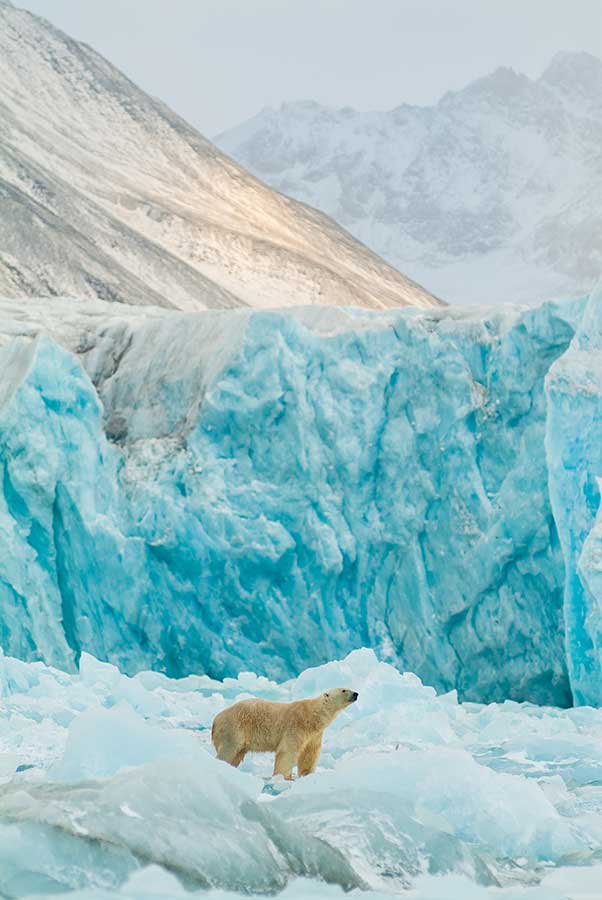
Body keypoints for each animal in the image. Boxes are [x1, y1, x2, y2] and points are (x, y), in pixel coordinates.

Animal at [211, 692, 356, 776]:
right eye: (343, 690)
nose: (356, 694)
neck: (312, 714)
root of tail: (216, 720)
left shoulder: (314, 735)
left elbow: (309, 754)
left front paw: (307, 774)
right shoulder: (296, 725)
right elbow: (288, 751)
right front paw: (284, 777)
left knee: (237, 754)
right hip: (234, 728)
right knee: (229, 749)